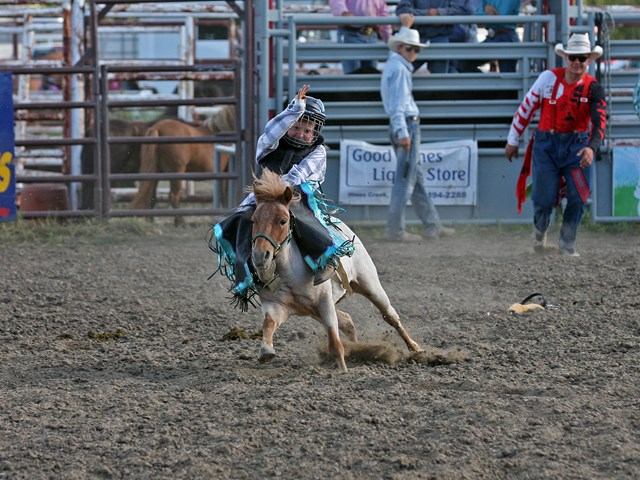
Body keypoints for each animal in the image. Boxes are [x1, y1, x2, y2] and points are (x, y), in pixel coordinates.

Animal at [249, 170, 422, 372]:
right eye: (253, 220)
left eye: (283, 221)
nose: (260, 256)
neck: (290, 275)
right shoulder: (276, 306)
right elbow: (268, 323)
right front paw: (266, 351)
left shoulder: (324, 303)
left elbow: (335, 342)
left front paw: (343, 371)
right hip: (314, 310)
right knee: (347, 321)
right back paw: (357, 347)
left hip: (370, 285)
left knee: (391, 316)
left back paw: (416, 348)